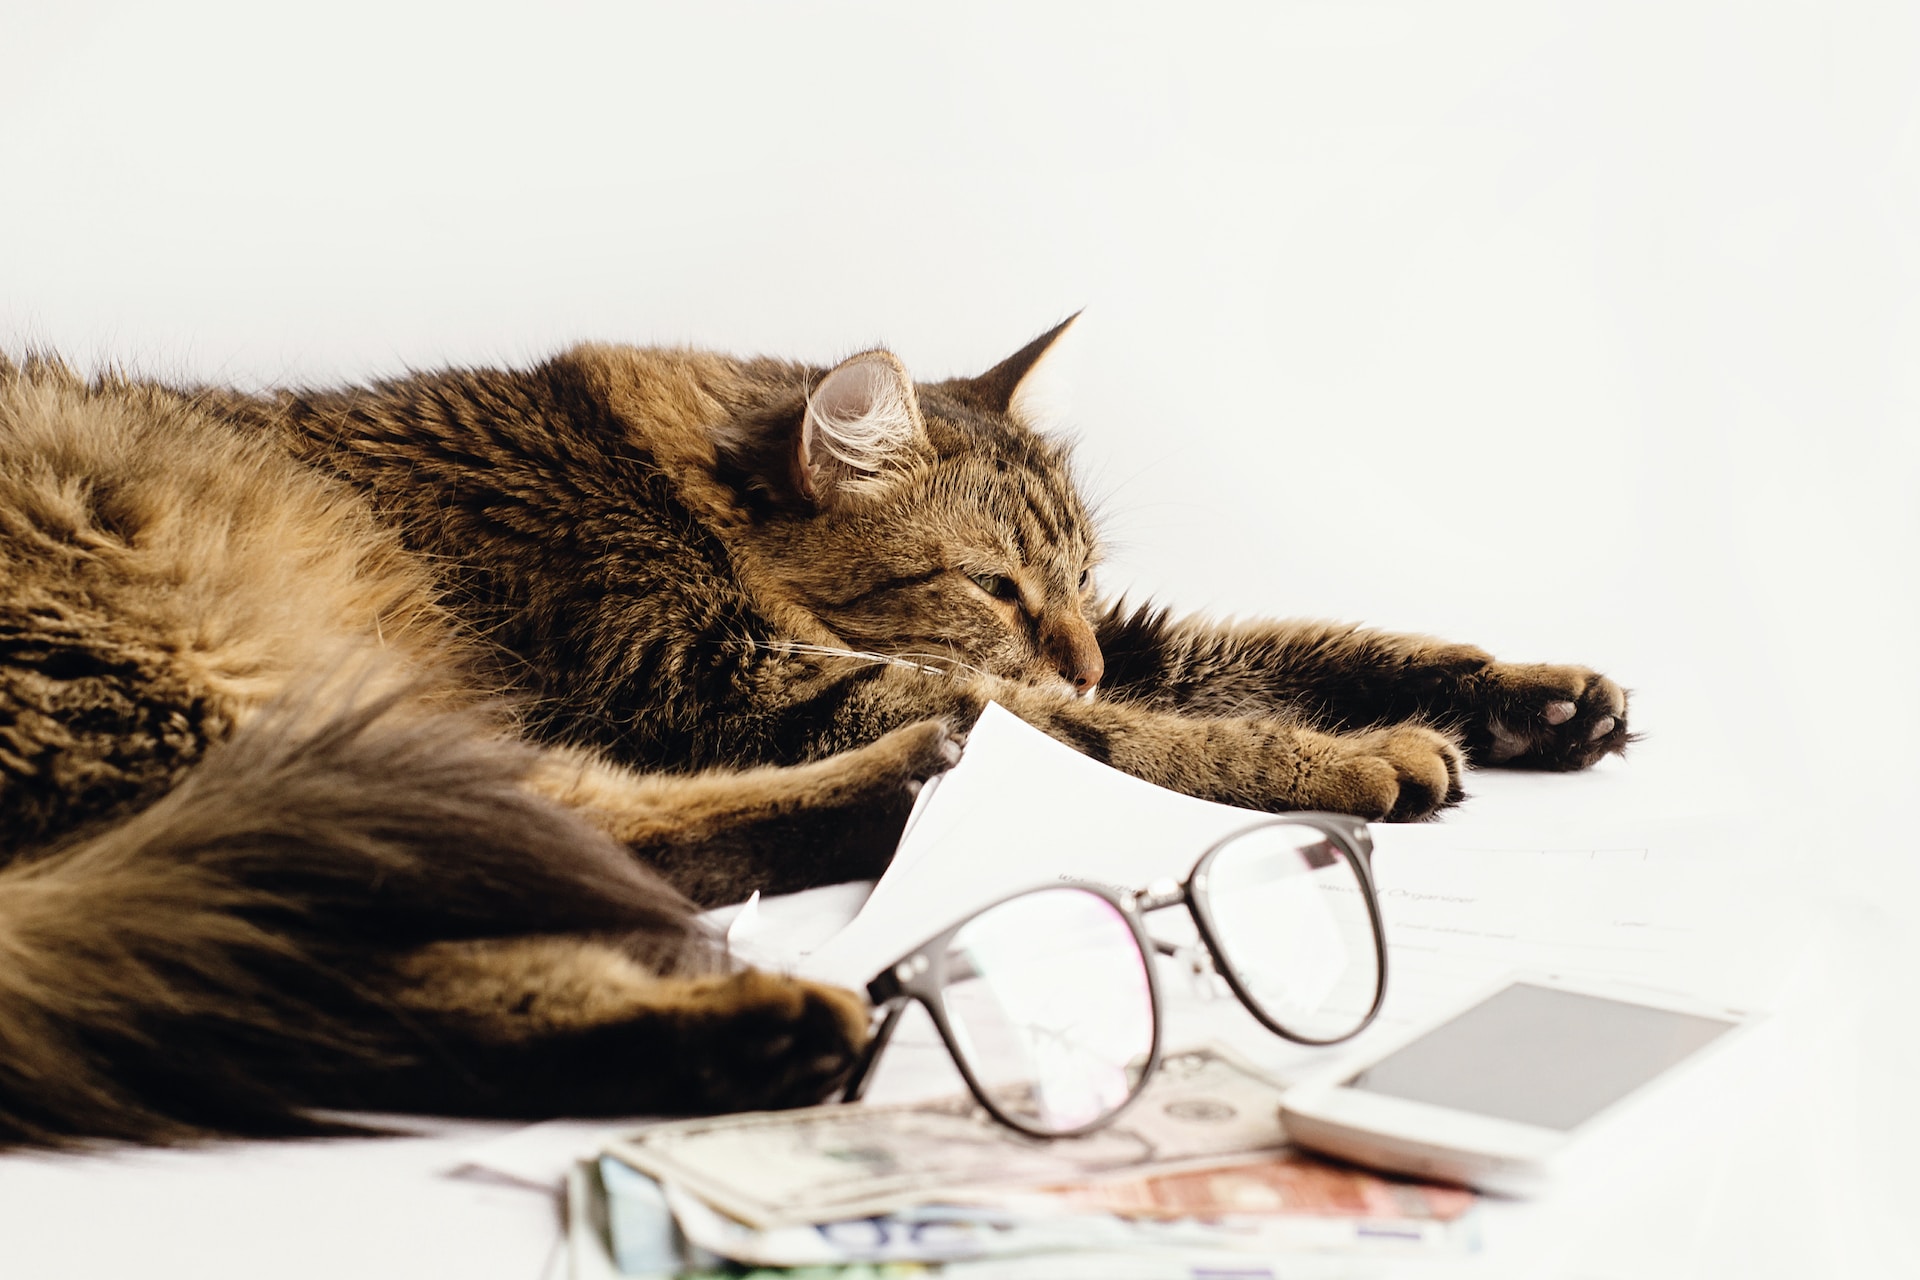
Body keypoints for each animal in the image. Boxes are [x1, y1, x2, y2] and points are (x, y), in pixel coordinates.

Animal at [0, 322, 1628, 1151]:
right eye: (992, 583)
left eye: (1079, 572)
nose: (1074, 637)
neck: (666, 479)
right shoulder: (705, 672)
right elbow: (1121, 730)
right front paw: (1352, 765)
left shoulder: (1114, 641)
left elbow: (1279, 651)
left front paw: (1530, 692)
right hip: (241, 696)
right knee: (346, 955)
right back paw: (828, 908)